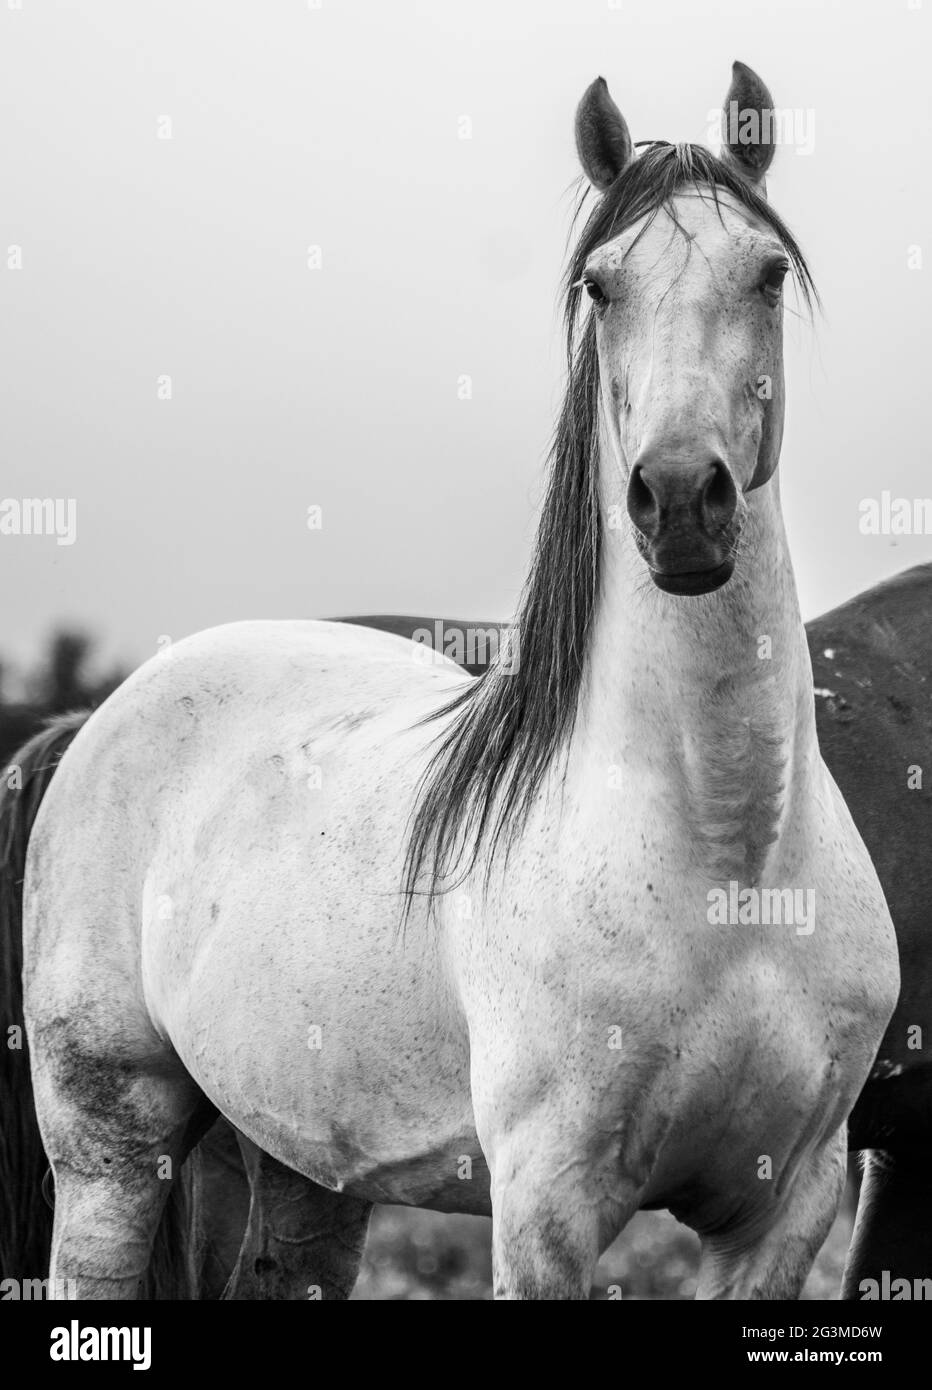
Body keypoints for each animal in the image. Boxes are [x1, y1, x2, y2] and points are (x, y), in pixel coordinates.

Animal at [9, 62, 899, 1300]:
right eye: (599, 284)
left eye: (765, 272)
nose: (679, 502)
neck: (732, 858)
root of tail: (96, 718)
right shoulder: (545, 1208)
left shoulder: (785, 1206)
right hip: (109, 1139)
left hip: (300, 1156)